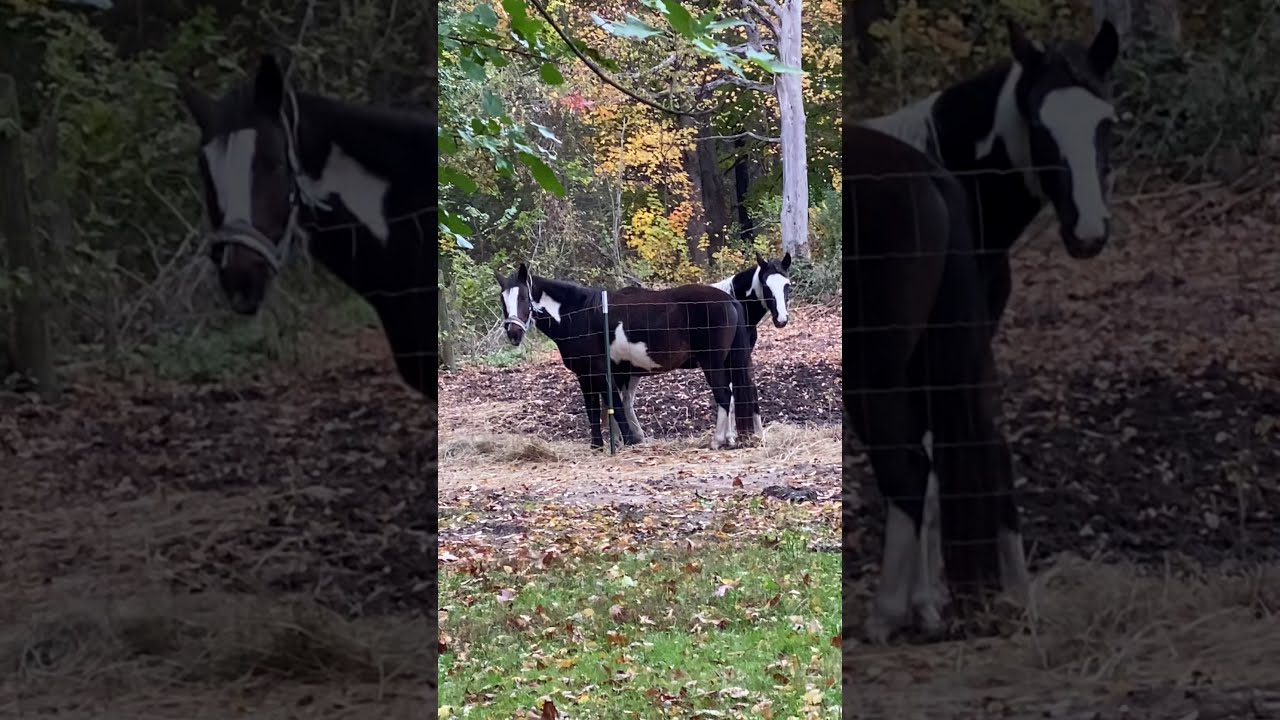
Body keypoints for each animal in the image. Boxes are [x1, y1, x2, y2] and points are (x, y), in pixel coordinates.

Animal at [494, 263, 760, 450]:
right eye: (502, 300)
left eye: (524, 297)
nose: (514, 333)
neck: (580, 314)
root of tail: (729, 300)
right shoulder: (607, 373)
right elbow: (605, 408)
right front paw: (605, 444)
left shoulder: (593, 372)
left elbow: (608, 407)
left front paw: (624, 442)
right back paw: (731, 438)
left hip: (712, 363)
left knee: (724, 396)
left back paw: (717, 440)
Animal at [846, 19, 1120, 643]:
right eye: (1042, 125)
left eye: (1105, 124)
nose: (1089, 232)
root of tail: (923, 176)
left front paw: (929, 604)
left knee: (913, 471)